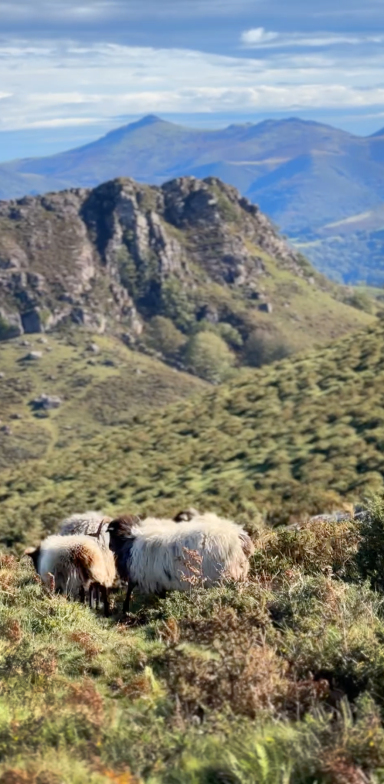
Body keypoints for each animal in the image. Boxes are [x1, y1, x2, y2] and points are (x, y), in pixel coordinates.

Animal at [106, 512, 255, 616]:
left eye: (111, 534)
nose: (109, 546)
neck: (130, 541)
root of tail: (241, 538)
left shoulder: (147, 576)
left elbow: (131, 591)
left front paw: (126, 610)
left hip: (227, 574)